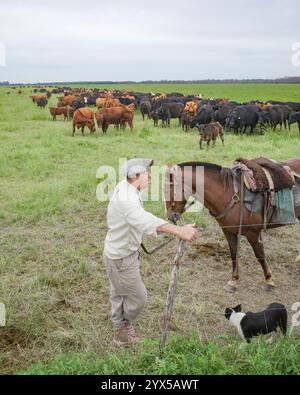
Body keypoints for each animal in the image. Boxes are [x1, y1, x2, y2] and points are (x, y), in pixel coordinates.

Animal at [164, 161, 300, 294]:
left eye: (170, 190)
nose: (170, 216)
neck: (230, 194)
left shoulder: (253, 233)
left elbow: (260, 255)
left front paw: (269, 280)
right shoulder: (228, 231)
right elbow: (234, 254)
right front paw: (233, 281)